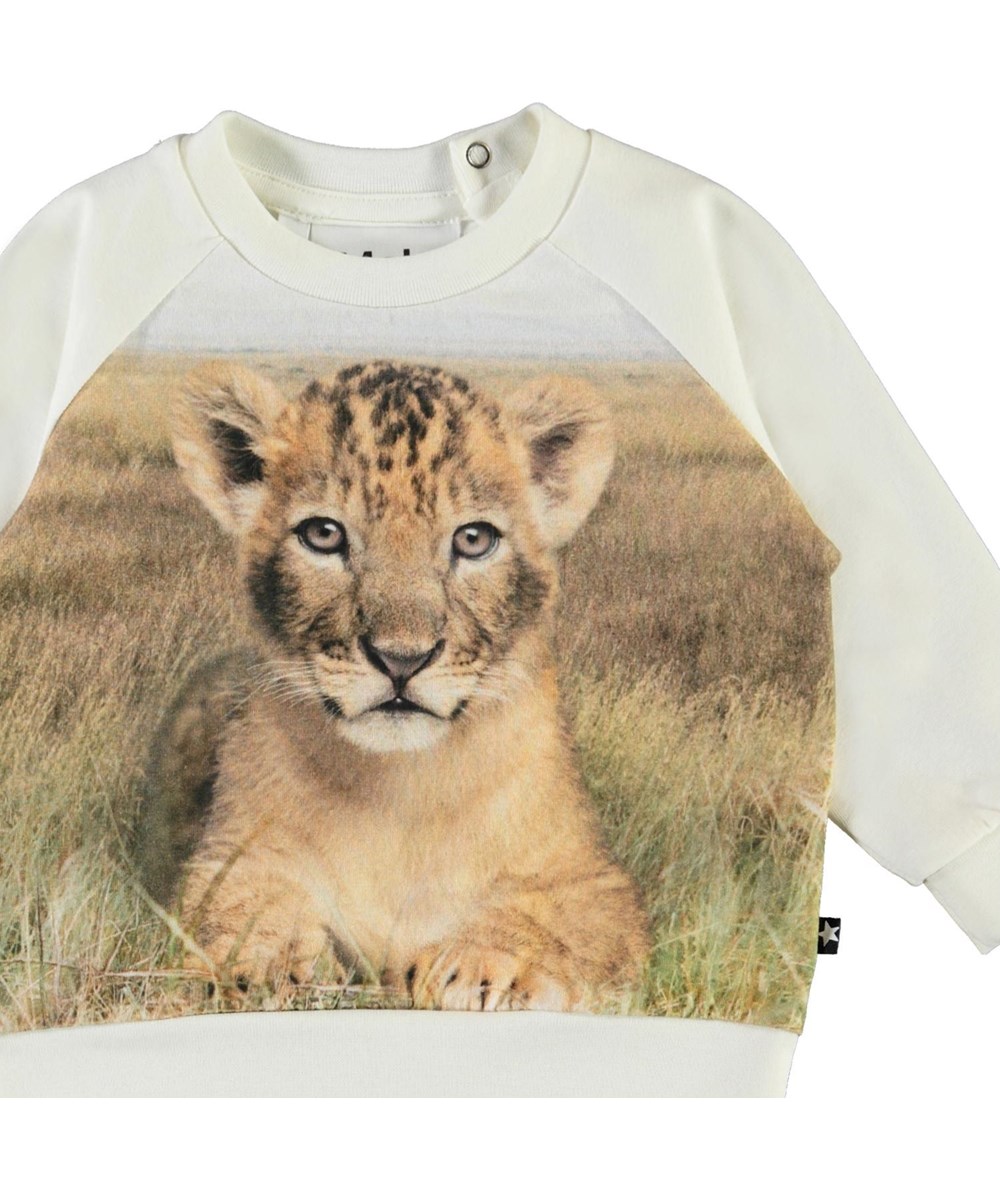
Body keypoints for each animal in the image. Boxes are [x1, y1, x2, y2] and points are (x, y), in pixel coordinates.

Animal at [135, 358, 651, 1012]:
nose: (401, 659)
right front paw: (265, 963)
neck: (400, 794)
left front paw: (481, 970)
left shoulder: (594, 878)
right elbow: (239, 900)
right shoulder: (229, 852)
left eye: (473, 540)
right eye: (324, 535)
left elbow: (553, 919)